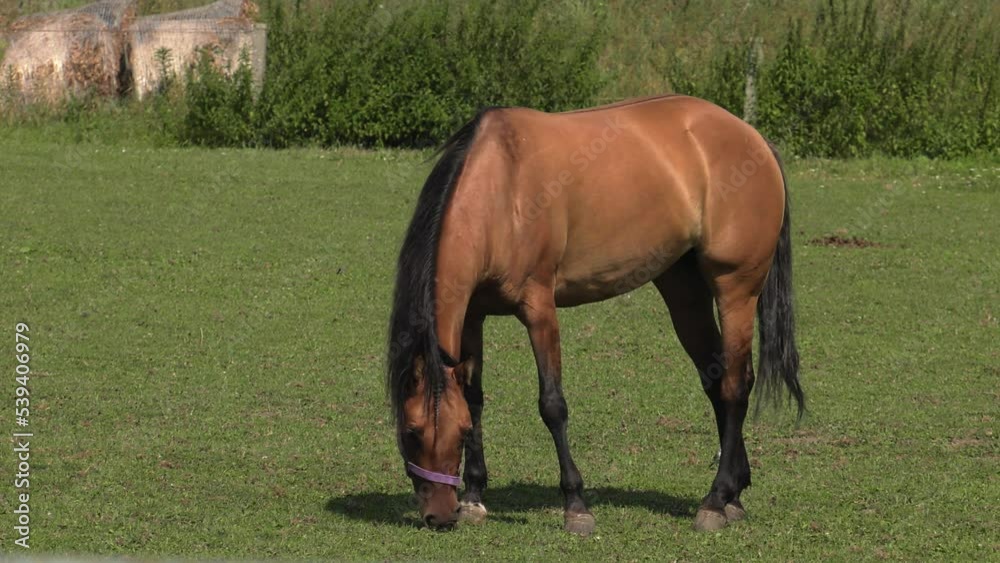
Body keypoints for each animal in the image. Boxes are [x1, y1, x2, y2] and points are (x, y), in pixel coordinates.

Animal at [386, 94, 804, 535]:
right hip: (684, 291)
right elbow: (474, 397)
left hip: (735, 289)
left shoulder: (539, 309)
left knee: (736, 386)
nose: (439, 515)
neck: (502, 191)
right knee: (717, 380)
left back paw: (715, 499)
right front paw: (473, 496)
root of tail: (754, 139)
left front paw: (576, 505)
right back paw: (734, 494)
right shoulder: (472, 317)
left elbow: (552, 405)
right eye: (410, 432)